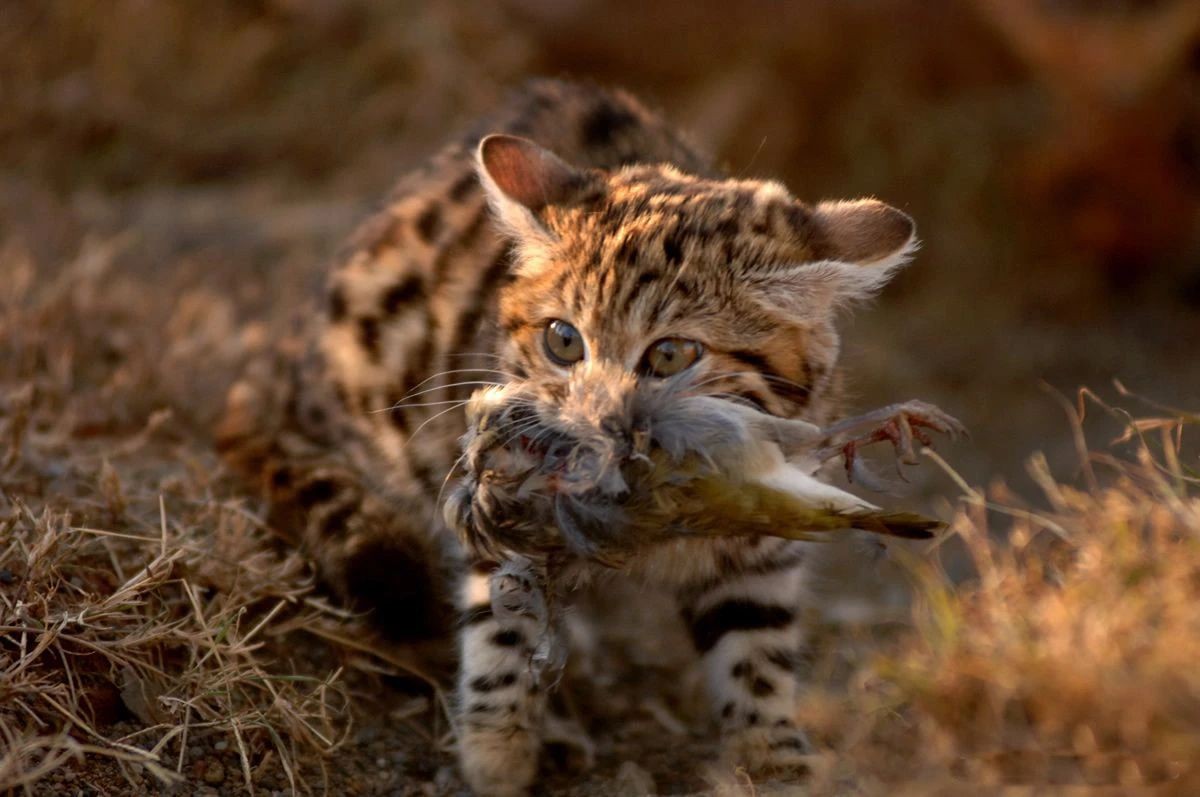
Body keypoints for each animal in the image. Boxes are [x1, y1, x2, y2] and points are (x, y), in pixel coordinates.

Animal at [216, 78, 926, 792]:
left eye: (671, 355)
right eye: (563, 340)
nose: (597, 423)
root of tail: (281, 360)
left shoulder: (764, 528)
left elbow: (758, 645)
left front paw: (773, 759)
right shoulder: (506, 492)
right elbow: (505, 613)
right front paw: (499, 747)